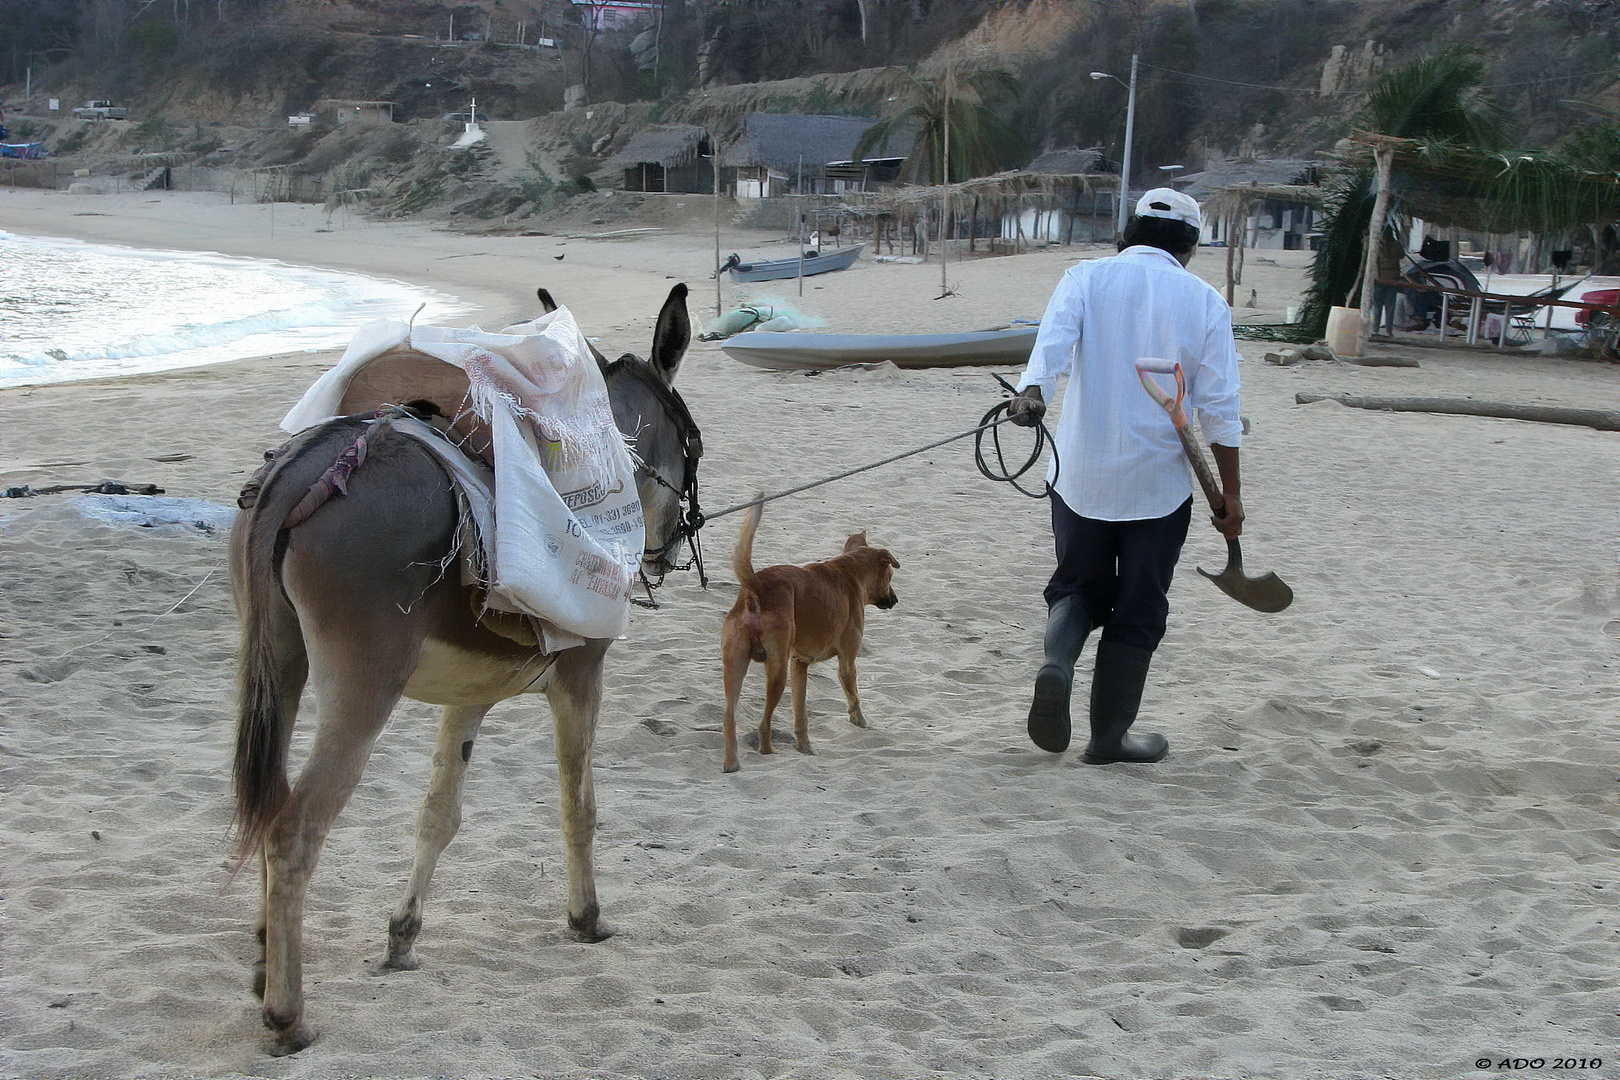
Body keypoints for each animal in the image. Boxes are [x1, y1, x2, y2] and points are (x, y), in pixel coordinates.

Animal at [719, 501, 900, 773]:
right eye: (890, 576)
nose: (895, 600)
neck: (851, 572)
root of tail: (756, 589)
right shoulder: (847, 661)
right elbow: (853, 695)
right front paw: (859, 720)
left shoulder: (799, 664)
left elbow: (800, 711)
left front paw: (804, 747)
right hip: (777, 671)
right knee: (764, 721)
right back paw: (766, 749)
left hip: (736, 666)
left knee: (729, 715)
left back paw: (732, 763)